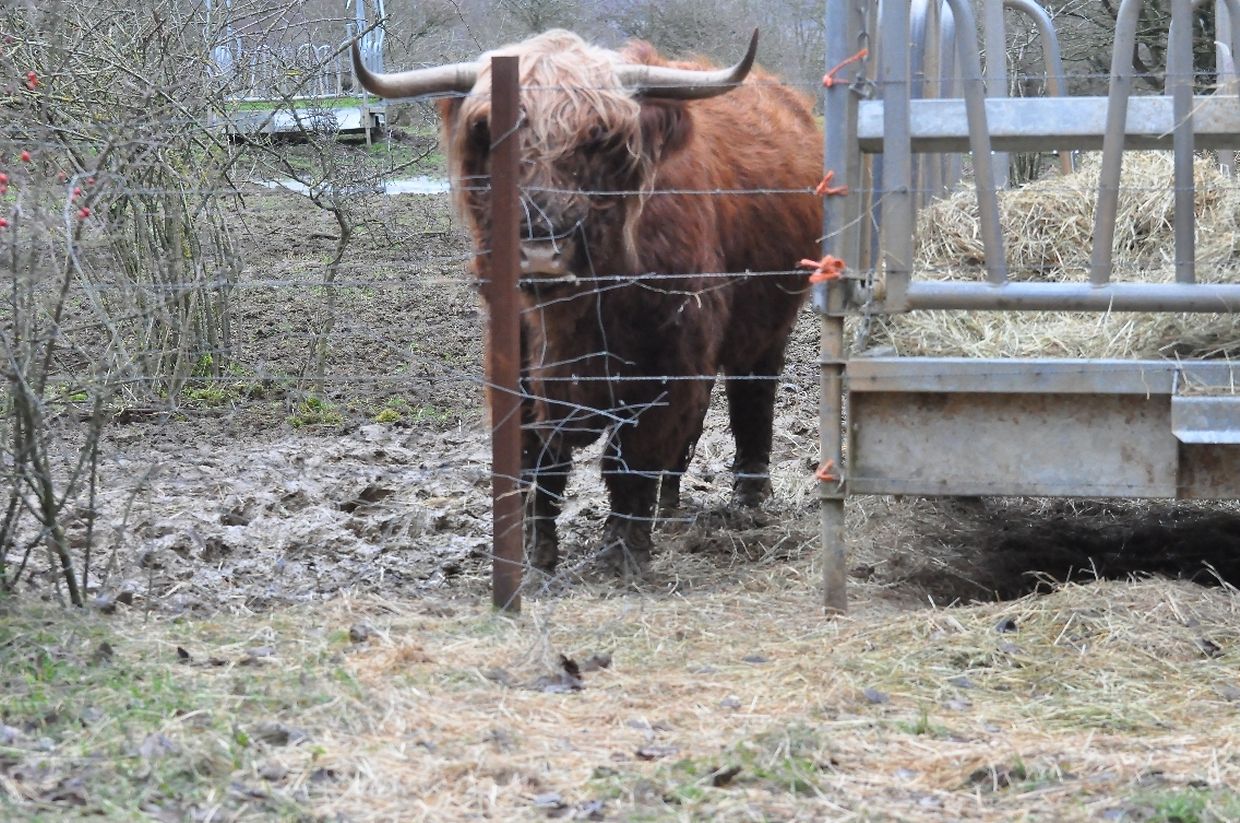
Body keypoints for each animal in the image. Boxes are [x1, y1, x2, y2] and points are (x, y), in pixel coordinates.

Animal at [352, 29, 823, 576]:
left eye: (599, 138)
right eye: (487, 131)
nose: (539, 253)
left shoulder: (666, 364)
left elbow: (633, 459)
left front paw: (623, 552)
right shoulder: (518, 369)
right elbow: (537, 466)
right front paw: (535, 554)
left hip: (766, 329)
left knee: (752, 398)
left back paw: (747, 501)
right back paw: (670, 506)